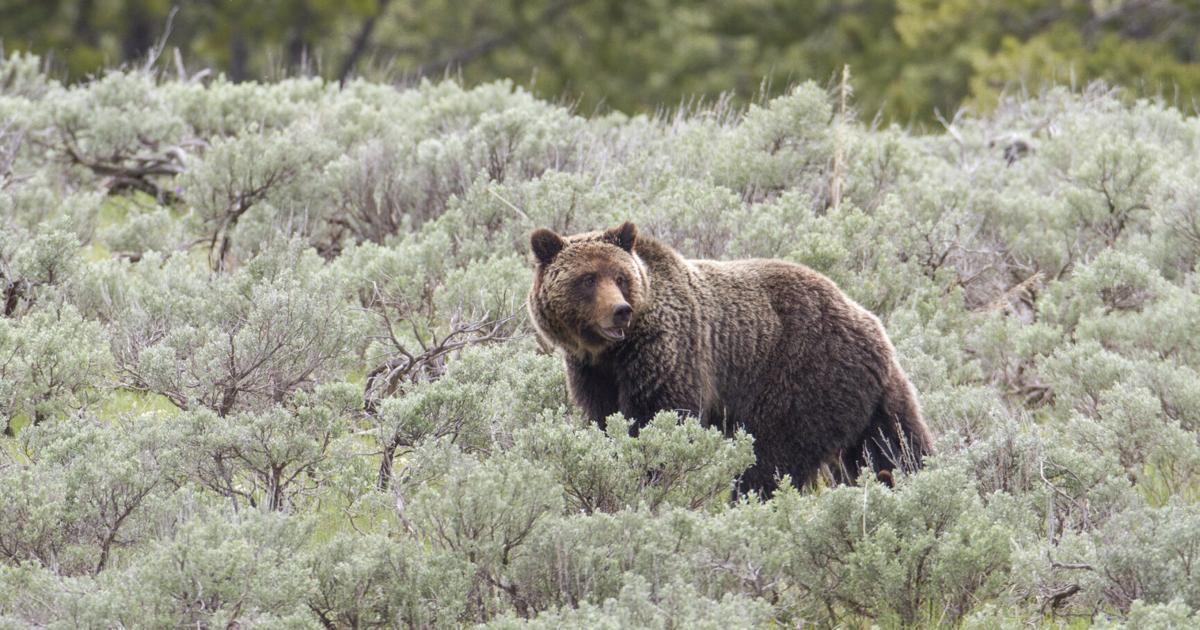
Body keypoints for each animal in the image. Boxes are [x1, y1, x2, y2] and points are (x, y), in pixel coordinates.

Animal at [526, 221, 934, 496]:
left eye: (620, 276)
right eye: (587, 279)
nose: (620, 311)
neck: (612, 353)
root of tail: (872, 325)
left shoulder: (669, 354)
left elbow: (660, 418)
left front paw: (654, 475)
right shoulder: (592, 373)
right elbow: (604, 419)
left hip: (801, 377)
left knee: (772, 457)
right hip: (868, 397)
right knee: (893, 445)